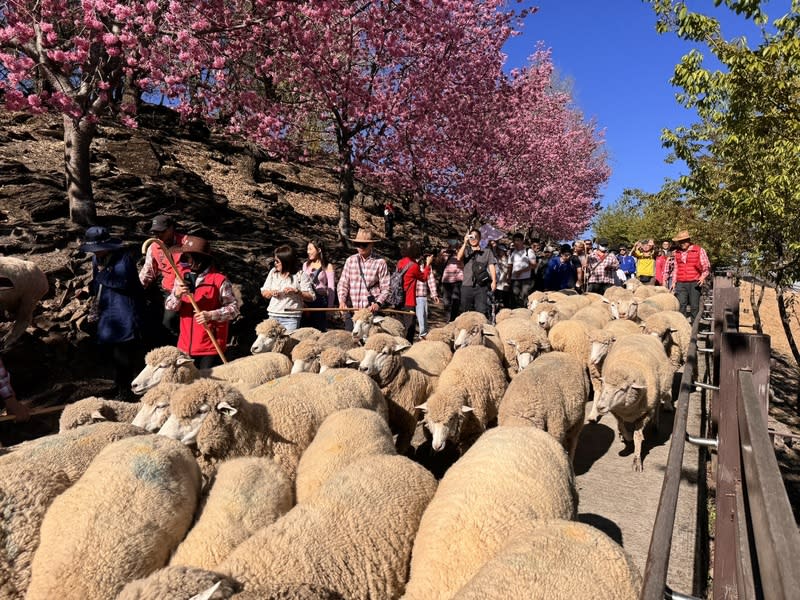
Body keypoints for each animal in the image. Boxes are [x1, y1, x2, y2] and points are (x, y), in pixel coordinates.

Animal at [592, 336, 676, 472]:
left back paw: (655, 424)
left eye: (622, 389)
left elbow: (638, 436)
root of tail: (648, 335)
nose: (600, 407)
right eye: (604, 385)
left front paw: (637, 460)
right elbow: (621, 426)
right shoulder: (617, 412)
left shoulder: (646, 413)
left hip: (659, 393)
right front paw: (627, 437)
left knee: (658, 407)